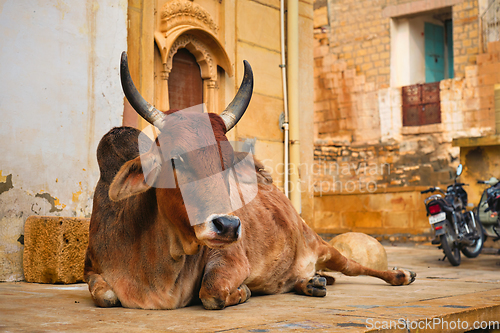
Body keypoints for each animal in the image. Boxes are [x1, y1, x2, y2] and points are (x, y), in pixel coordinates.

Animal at [84, 51, 416, 308]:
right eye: (175, 159)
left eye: (229, 163)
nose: (228, 225)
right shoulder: (92, 267)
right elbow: (106, 296)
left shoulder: (229, 257)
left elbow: (212, 292)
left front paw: (243, 291)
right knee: (303, 278)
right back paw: (312, 283)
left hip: (321, 245)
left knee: (355, 266)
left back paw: (399, 275)